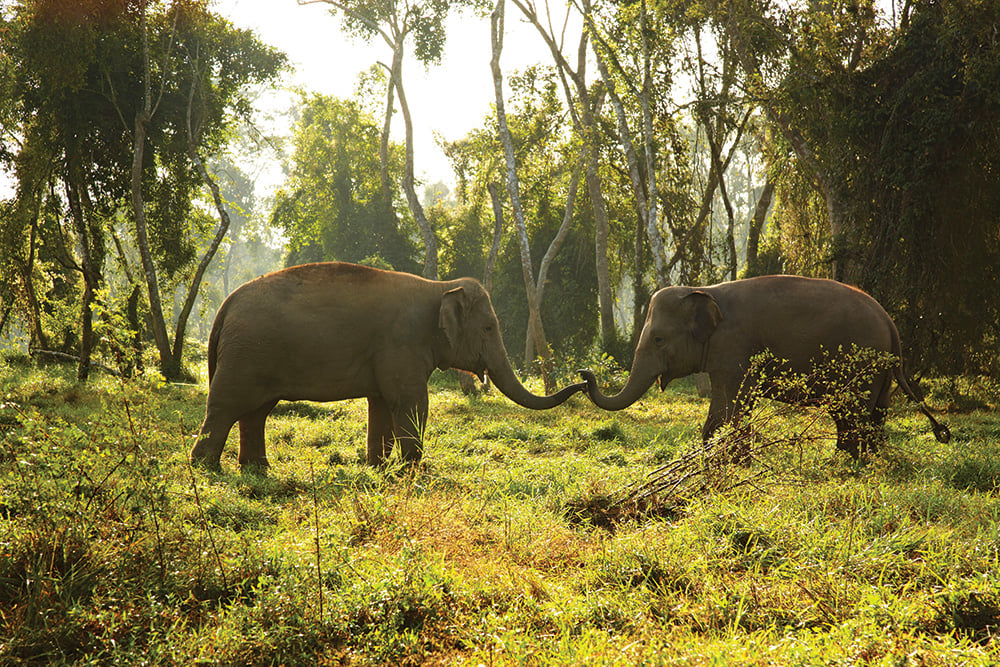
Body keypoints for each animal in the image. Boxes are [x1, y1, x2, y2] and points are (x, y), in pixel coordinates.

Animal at [190, 260, 584, 470]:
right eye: (489, 327)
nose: (585, 378)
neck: (439, 287)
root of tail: (225, 306)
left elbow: (380, 404)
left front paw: (377, 468)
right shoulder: (402, 342)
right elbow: (410, 401)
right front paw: (412, 470)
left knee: (256, 411)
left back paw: (257, 469)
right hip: (246, 354)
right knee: (226, 406)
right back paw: (206, 468)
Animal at [576, 274, 948, 456]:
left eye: (657, 339)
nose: (584, 374)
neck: (704, 290)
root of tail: (889, 322)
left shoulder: (734, 347)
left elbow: (732, 406)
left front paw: (729, 461)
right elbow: (725, 409)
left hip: (862, 365)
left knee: (851, 413)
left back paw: (848, 463)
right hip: (879, 369)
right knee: (873, 414)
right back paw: (863, 460)